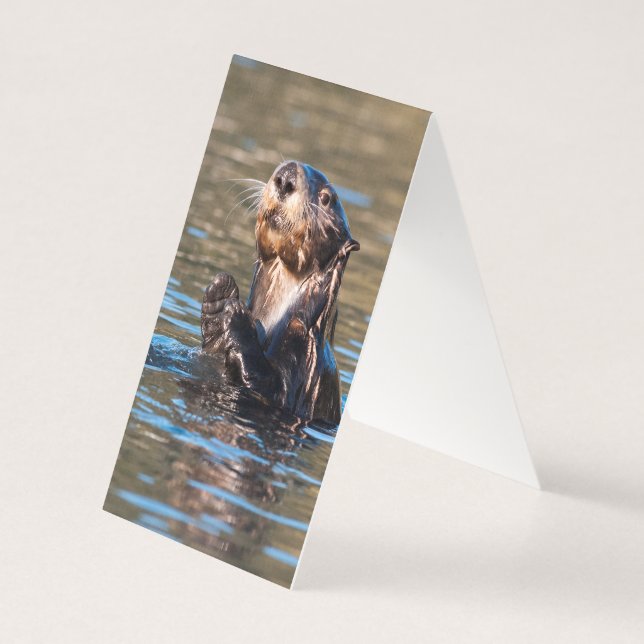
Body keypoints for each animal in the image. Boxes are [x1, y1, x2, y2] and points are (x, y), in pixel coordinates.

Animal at [200, 161, 359, 424]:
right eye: (278, 170)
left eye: (326, 198)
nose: (286, 179)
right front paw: (219, 297)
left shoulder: (305, 355)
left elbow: (270, 387)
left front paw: (236, 316)